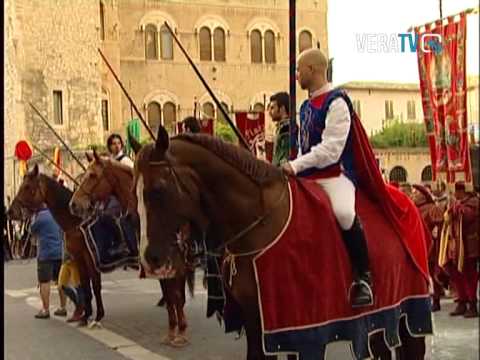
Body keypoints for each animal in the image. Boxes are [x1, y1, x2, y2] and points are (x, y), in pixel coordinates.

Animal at [5, 165, 104, 328]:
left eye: (27, 186)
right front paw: (85, 316)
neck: (77, 221)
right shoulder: (79, 257)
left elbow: (95, 284)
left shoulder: (90, 257)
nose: (10, 211)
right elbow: (85, 284)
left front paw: (98, 317)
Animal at [68, 150, 195, 348]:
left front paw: (181, 332)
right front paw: (172, 331)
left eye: (93, 175)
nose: (74, 204)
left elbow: (175, 296)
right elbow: (170, 296)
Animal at [127, 125, 432, 358]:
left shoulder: (301, 330)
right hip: (381, 314)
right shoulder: (257, 320)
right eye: (135, 192)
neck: (259, 221)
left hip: (410, 309)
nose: (149, 258)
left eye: (158, 189)